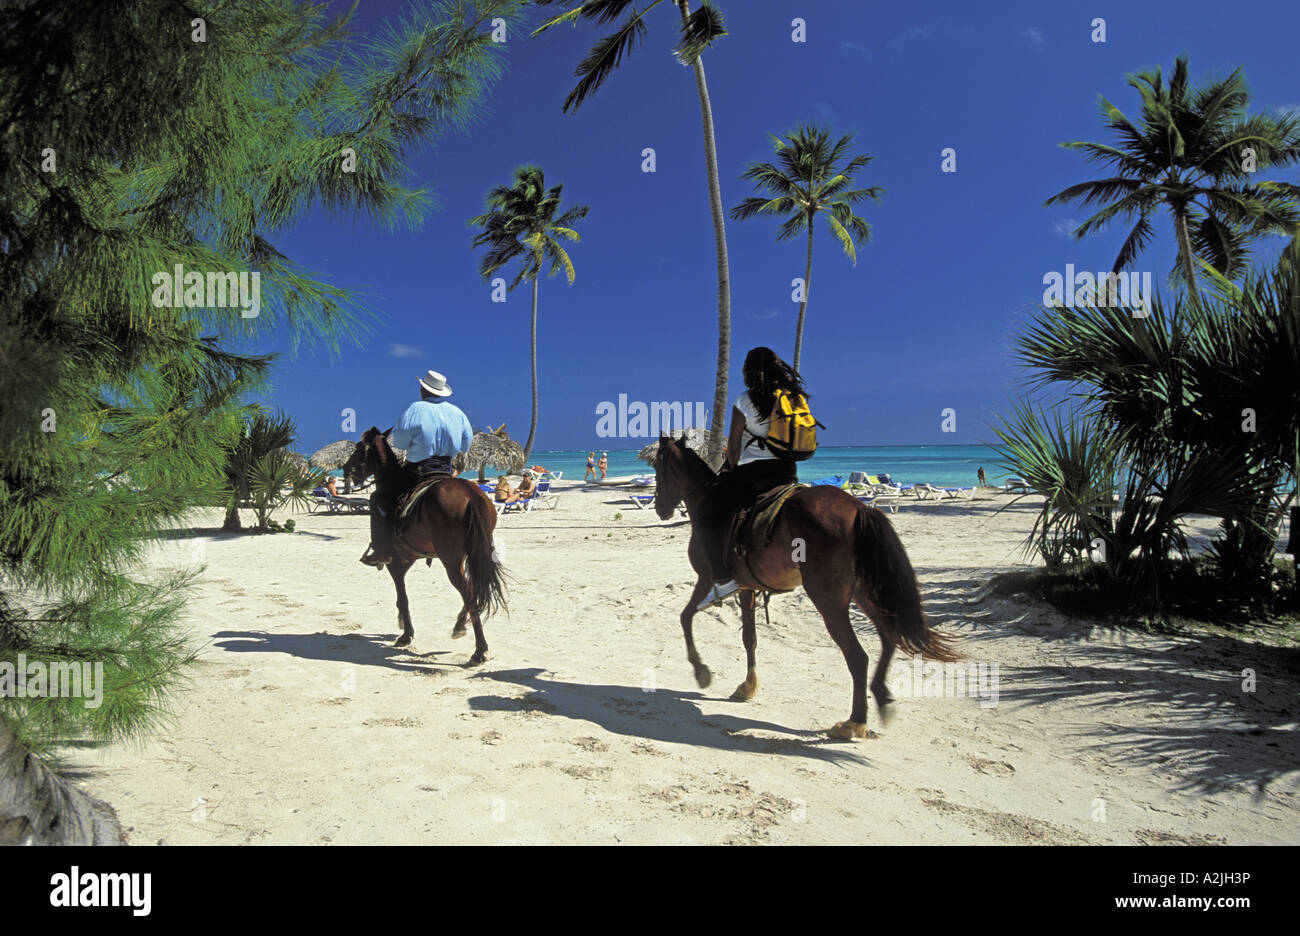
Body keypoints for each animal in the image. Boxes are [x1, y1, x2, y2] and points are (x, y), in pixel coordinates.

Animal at [343, 428, 504, 663]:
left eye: (358, 448)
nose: (345, 470)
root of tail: (471, 495)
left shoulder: (395, 562)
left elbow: (403, 598)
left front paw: (406, 634)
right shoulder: (407, 558)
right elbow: (402, 599)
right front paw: (403, 626)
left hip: (451, 560)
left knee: (468, 593)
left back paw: (479, 650)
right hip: (472, 555)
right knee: (473, 590)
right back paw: (460, 626)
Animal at [655, 436, 961, 738]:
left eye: (657, 467)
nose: (660, 508)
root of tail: (859, 508)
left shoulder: (706, 578)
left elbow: (685, 617)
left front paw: (701, 671)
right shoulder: (746, 587)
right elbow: (749, 638)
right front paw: (748, 687)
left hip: (828, 601)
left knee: (858, 656)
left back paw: (854, 722)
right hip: (863, 594)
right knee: (888, 638)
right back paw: (880, 696)